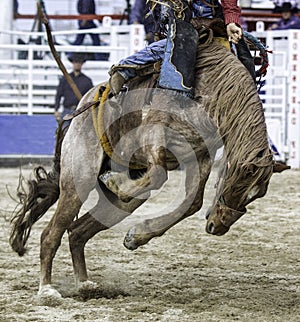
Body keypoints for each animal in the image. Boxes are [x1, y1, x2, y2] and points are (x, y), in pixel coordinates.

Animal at [9, 28, 288, 302]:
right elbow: (159, 176)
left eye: (257, 195)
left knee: (77, 231)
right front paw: (115, 183)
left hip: (118, 198)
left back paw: (86, 284)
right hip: (79, 179)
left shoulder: (199, 157)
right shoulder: (154, 135)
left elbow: (193, 202)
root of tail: (79, 110)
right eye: (237, 185)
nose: (218, 227)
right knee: (51, 234)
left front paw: (134, 237)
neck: (210, 91)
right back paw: (47, 290)